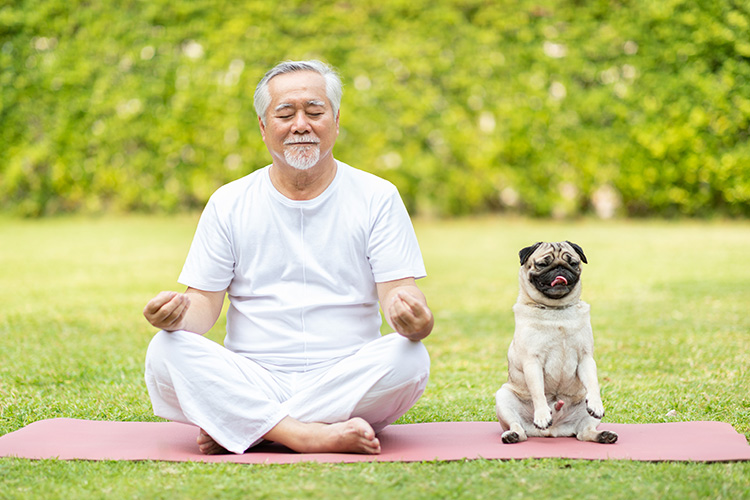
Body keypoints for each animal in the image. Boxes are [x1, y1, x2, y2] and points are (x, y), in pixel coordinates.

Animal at [494, 240, 616, 444]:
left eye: (573, 263)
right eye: (543, 264)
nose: (560, 268)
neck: (556, 310)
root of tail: (553, 431)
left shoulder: (586, 358)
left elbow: (593, 383)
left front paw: (596, 404)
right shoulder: (532, 362)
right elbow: (538, 391)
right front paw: (543, 415)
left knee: (584, 433)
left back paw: (604, 435)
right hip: (503, 397)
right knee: (519, 429)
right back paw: (513, 435)